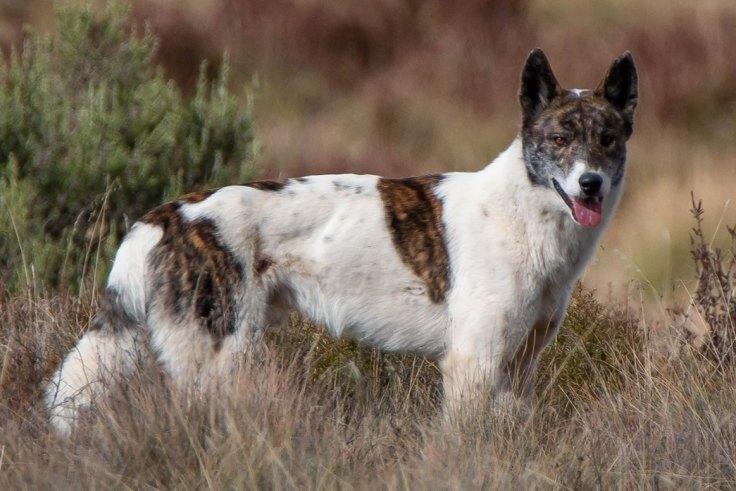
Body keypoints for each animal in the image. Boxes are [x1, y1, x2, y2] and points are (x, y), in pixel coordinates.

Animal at [46, 49, 640, 434]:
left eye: (607, 140)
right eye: (559, 139)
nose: (591, 183)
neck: (524, 213)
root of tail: (168, 214)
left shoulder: (519, 369)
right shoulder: (473, 363)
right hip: (217, 361)